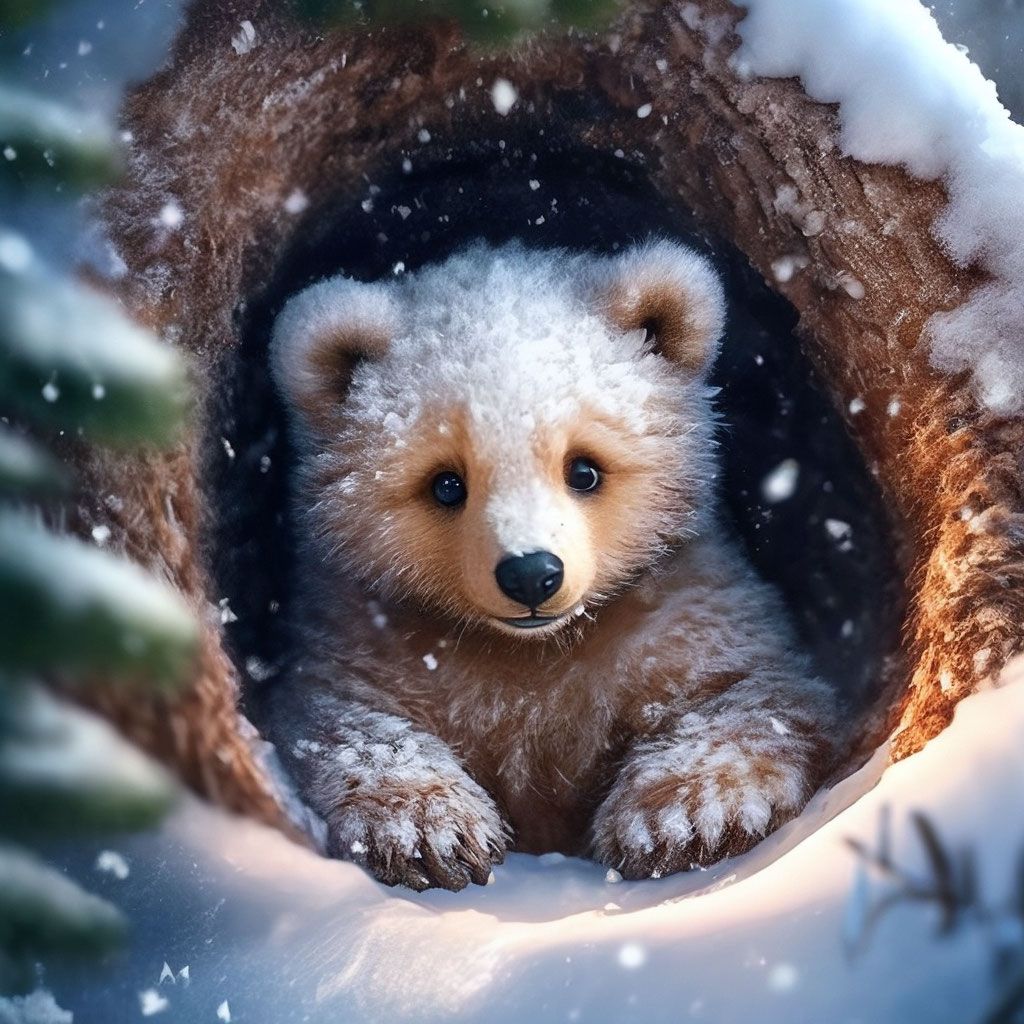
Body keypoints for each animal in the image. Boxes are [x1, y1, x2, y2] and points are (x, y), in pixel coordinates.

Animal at [266, 239, 840, 891]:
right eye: (446, 484)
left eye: (583, 469)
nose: (530, 575)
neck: (532, 652)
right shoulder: (369, 630)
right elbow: (339, 716)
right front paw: (428, 831)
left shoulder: (680, 607)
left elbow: (759, 694)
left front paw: (683, 817)